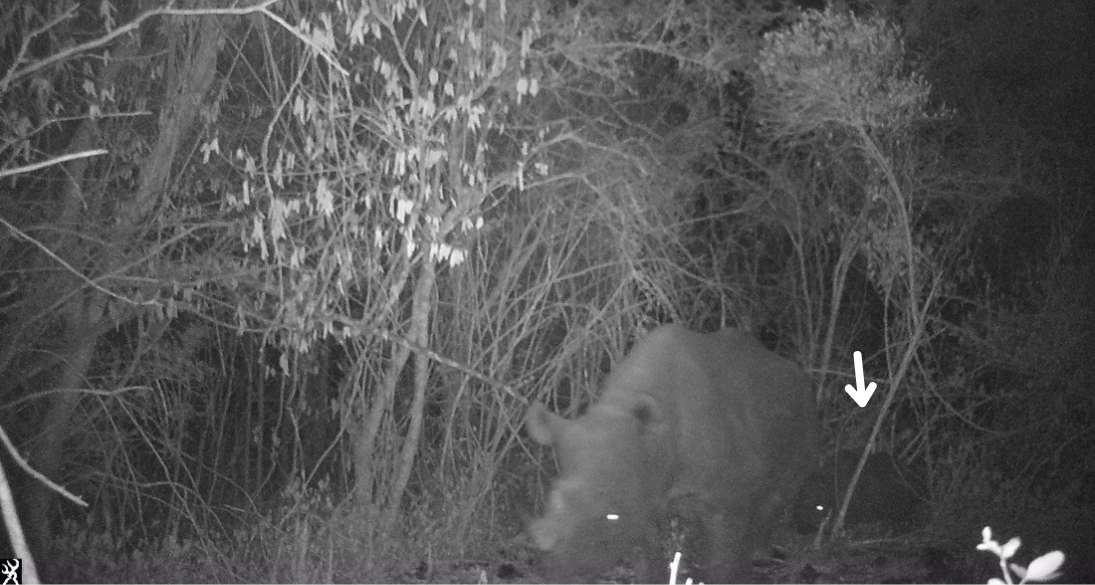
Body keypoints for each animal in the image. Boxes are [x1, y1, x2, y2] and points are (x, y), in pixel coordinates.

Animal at [526, 324, 818, 583]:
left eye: (610, 512)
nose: (551, 572)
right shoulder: (642, 494)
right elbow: (647, 559)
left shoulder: (726, 501)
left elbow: (722, 562)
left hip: (805, 409)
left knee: (782, 491)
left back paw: (760, 555)